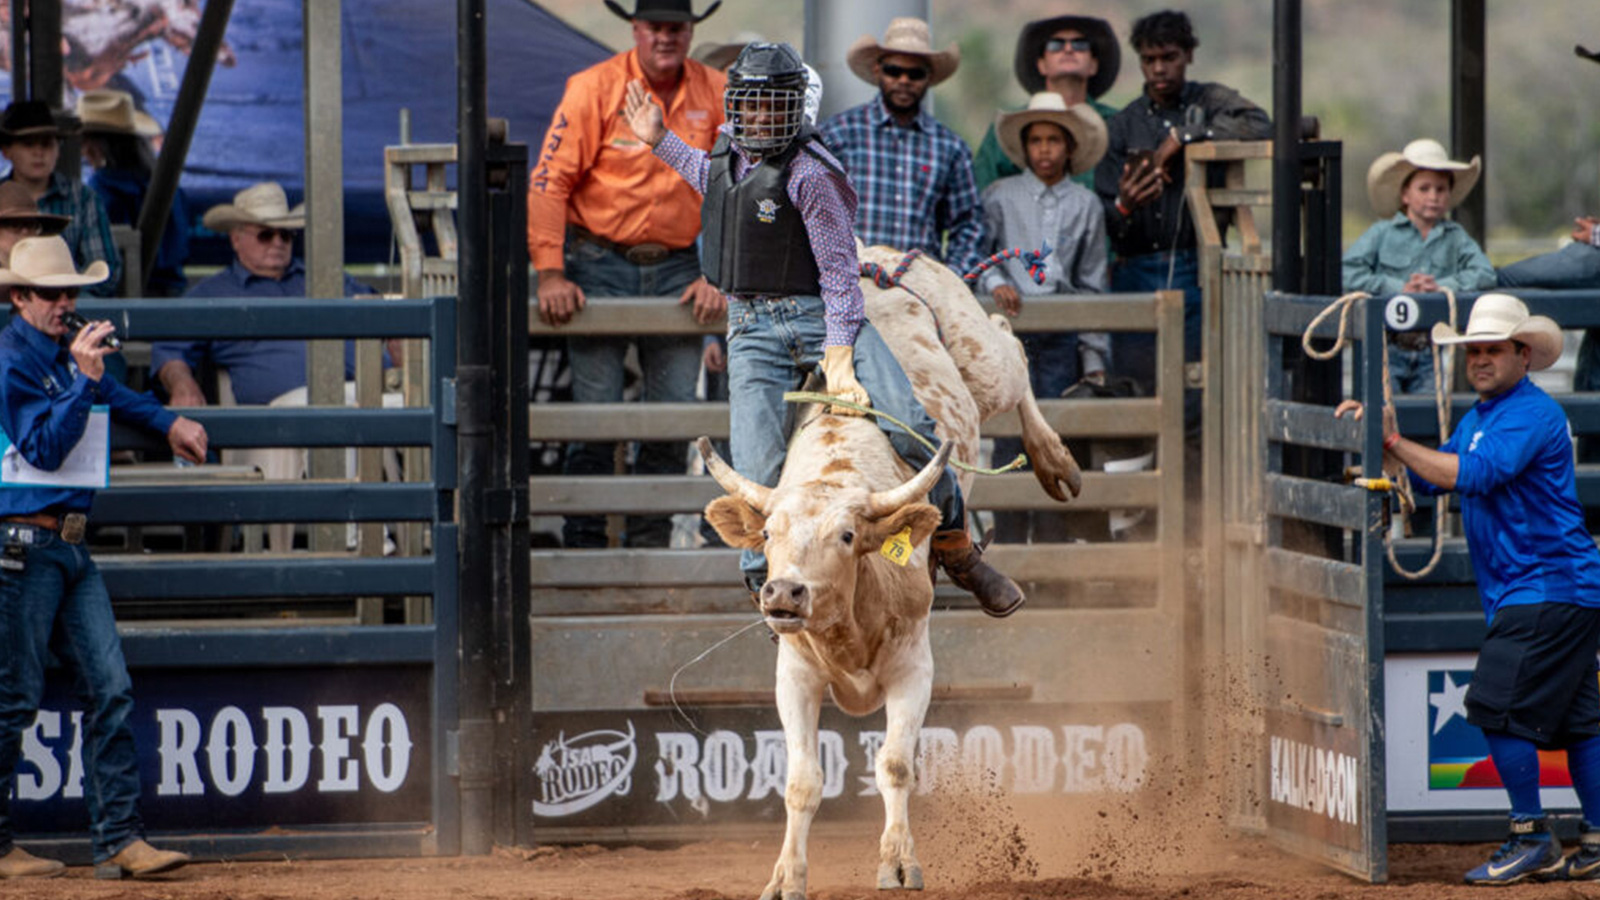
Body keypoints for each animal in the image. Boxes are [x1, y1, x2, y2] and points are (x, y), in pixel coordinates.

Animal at [694, 241, 1081, 890]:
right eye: (768, 534)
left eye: (848, 535)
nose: (783, 593)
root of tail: (877, 252)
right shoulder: (794, 675)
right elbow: (801, 782)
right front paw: (786, 876)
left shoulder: (914, 669)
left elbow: (896, 764)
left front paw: (899, 863)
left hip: (980, 360)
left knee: (1011, 346)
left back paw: (1056, 462)